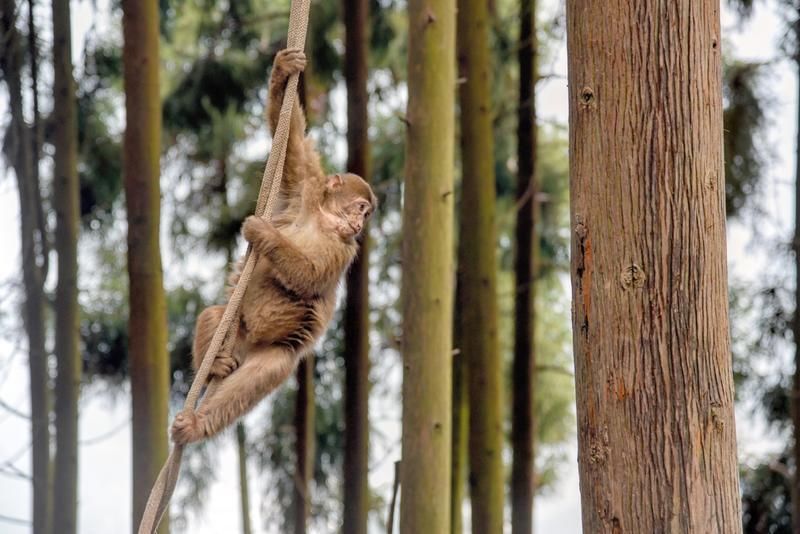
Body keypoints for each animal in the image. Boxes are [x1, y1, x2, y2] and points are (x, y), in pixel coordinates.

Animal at [170, 48, 376, 446]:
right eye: (361, 208)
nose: (360, 224)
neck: (325, 218)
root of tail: (247, 345)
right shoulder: (304, 187)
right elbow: (291, 142)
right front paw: (283, 69)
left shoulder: (346, 250)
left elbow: (312, 277)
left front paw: (264, 235)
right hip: (237, 333)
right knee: (215, 315)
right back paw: (214, 365)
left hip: (269, 351)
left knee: (265, 371)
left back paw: (198, 424)